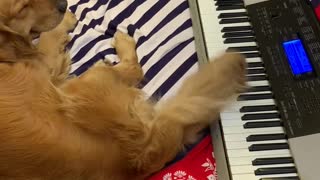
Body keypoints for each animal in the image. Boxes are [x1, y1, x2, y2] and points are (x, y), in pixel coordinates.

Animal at [0, 0, 248, 179]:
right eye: (22, 8)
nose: (62, 5)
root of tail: (137, 157)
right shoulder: (43, 64)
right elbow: (47, 39)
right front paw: (64, 22)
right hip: (89, 80)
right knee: (134, 70)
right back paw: (123, 41)